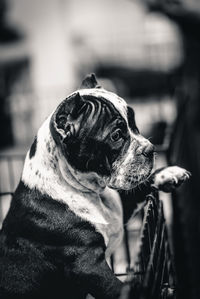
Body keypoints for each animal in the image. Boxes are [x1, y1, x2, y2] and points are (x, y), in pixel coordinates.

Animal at [0, 74, 191, 298]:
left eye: (134, 123)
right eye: (116, 136)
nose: (150, 149)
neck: (89, 191)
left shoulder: (120, 211)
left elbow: (139, 189)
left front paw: (167, 174)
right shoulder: (88, 266)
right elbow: (120, 290)